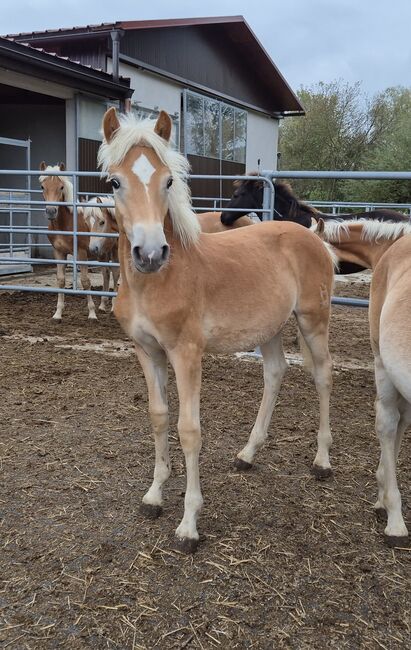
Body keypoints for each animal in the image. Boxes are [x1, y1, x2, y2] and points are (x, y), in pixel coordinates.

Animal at [39, 163, 97, 320]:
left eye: (61, 187)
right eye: (42, 186)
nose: (51, 211)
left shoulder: (82, 253)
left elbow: (85, 281)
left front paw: (92, 314)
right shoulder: (59, 252)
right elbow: (60, 280)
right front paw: (58, 313)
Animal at [98, 107, 336, 552]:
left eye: (168, 181)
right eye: (115, 182)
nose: (150, 253)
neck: (156, 282)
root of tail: (310, 235)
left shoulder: (186, 353)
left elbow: (189, 430)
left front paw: (189, 525)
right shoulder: (147, 352)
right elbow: (159, 417)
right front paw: (153, 496)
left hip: (314, 321)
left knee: (323, 376)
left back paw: (322, 461)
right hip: (269, 328)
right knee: (275, 372)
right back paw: (247, 454)